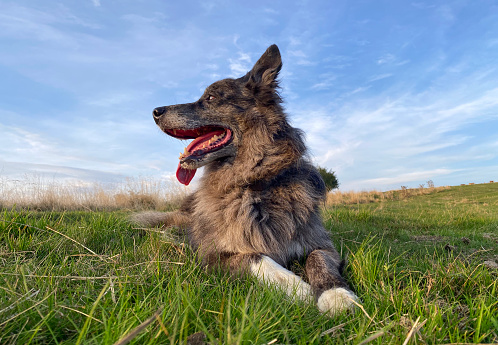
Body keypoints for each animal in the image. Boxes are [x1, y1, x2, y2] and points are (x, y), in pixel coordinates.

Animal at [133, 45, 358, 314]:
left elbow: (318, 259)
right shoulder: (211, 255)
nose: (155, 112)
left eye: (210, 98)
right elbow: (255, 256)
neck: (253, 183)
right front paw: (297, 287)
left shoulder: (321, 244)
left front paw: (336, 294)